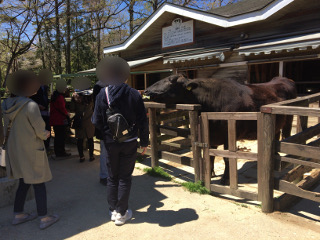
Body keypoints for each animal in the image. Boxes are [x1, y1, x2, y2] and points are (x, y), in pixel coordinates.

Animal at [144, 74, 296, 185]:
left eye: (170, 80)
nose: (145, 90)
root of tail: (283, 78)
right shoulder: (211, 136)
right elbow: (210, 156)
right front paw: (210, 174)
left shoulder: (229, 136)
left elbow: (227, 158)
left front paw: (225, 179)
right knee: (276, 135)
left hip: (289, 119)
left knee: (286, 137)